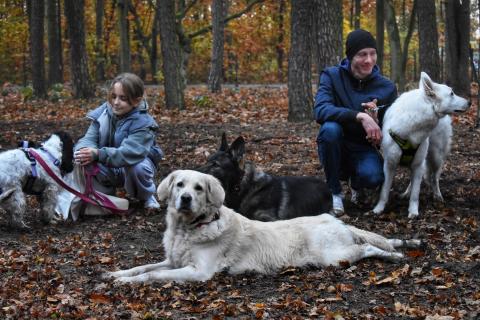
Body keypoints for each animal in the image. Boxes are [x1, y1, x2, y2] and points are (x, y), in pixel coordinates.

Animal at [106, 170, 420, 282]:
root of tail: (334, 219)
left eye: (198, 188)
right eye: (180, 184)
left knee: (368, 248)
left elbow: (153, 275)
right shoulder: (173, 260)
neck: (188, 229)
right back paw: (404, 246)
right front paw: (116, 274)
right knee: (378, 241)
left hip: (333, 255)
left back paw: (394, 256)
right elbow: (144, 267)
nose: (185, 199)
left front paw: (126, 282)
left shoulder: (199, 272)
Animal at [372, 72, 468, 218]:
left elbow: (416, 194)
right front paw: (379, 208)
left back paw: (437, 195)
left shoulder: (418, 164)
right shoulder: (390, 164)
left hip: (436, 157)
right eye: (451, 93)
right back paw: (406, 193)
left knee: (435, 178)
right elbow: (384, 190)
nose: (470, 102)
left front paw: (413, 212)